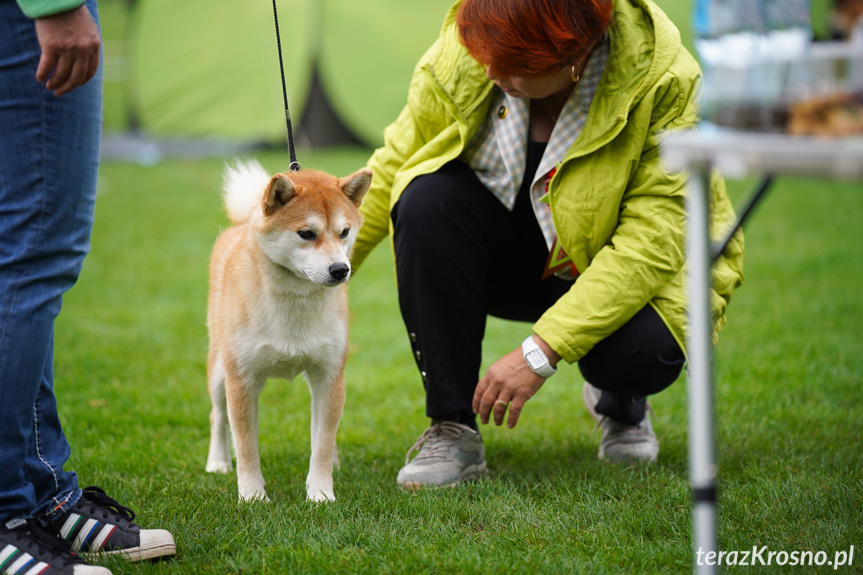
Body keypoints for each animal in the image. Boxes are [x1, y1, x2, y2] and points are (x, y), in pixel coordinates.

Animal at [208, 160, 372, 502]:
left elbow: (321, 442)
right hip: (219, 369)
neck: (295, 303)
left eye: (345, 232)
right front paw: (252, 495)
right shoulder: (241, 381)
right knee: (217, 416)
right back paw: (217, 462)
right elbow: (246, 446)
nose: (341, 270)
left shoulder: (329, 377)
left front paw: (321, 493)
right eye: (306, 233)